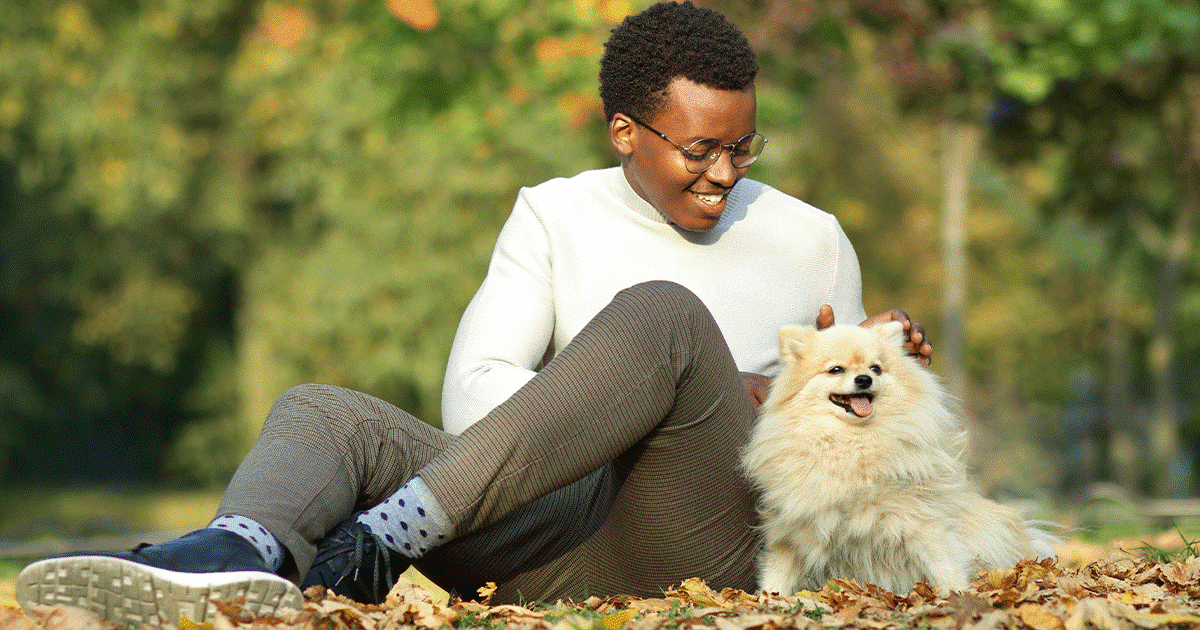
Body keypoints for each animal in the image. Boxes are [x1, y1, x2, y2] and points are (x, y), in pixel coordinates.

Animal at [734, 321, 1056, 592]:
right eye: (836, 370)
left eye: (876, 368)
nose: (864, 379)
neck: (854, 443)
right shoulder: (793, 529)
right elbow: (778, 573)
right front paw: (768, 601)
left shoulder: (920, 519)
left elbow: (944, 564)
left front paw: (957, 596)